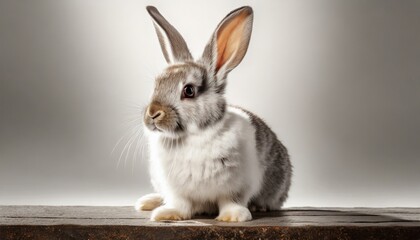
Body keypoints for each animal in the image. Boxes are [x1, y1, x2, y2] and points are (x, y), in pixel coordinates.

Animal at [135, 5, 292, 222]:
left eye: (189, 90)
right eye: (157, 84)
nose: (153, 113)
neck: (194, 136)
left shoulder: (238, 186)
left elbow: (231, 201)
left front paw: (233, 216)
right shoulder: (176, 190)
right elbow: (181, 205)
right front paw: (167, 214)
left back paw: (258, 207)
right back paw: (148, 202)